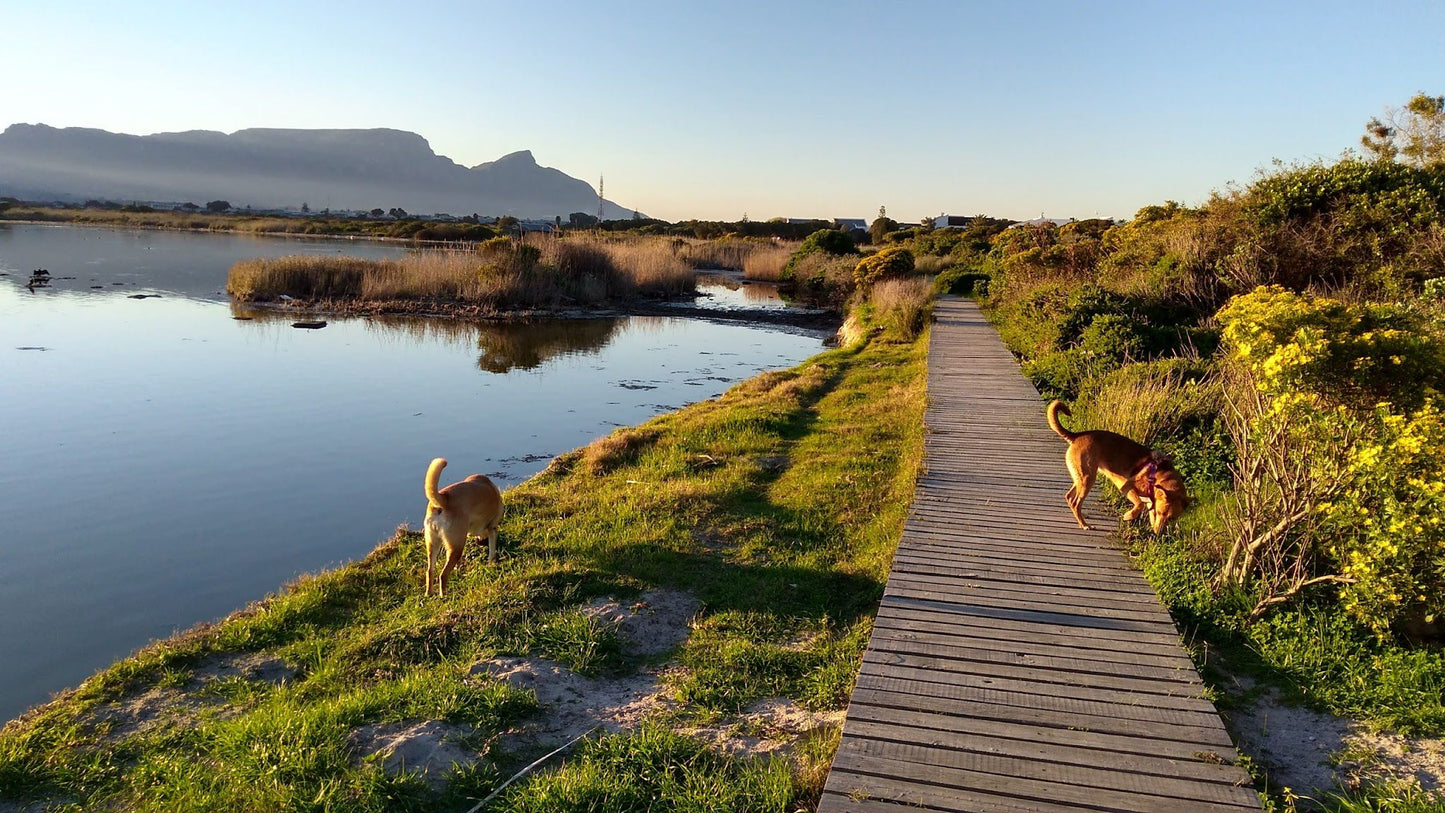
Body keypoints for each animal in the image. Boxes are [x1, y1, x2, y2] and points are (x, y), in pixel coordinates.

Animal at [421, 459, 502, 597]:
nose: (481, 543)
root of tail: (443, 498)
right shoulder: (492, 527)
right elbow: (492, 547)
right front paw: (491, 562)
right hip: (456, 546)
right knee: (443, 575)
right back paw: (444, 596)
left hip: (434, 544)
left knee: (430, 571)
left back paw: (429, 593)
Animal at [1051, 401, 1184, 534]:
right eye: (1161, 512)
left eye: (1172, 518)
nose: (1159, 533)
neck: (1157, 474)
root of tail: (1077, 436)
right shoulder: (1126, 486)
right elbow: (1139, 504)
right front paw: (1128, 516)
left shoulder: (1149, 502)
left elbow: (1148, 513)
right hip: (1087, 479)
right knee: (1075, 503)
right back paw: (1084, 525)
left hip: (1081, 478)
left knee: (1069, 497)